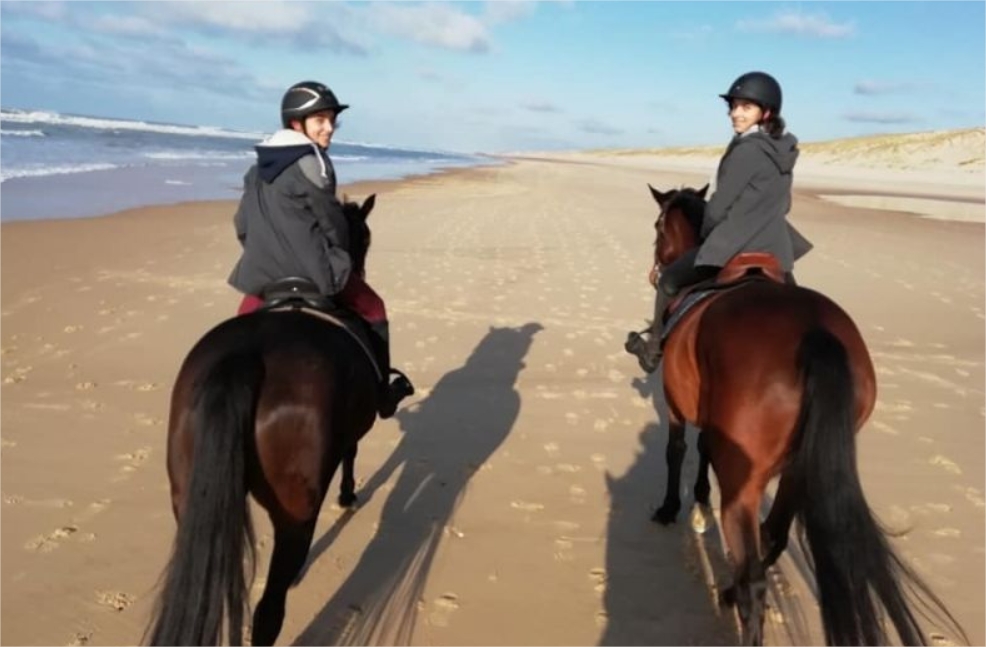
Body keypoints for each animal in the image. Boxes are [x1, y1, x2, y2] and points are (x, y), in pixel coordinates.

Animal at [146, 195, 384, 644]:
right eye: (363, 238)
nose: (359, 274)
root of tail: (244, 359)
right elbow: (352, 450)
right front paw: (347, 496)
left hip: (185, 494)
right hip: (296, 512)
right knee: (268, 612)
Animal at [640, 185, 964, 644]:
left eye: (658, 226)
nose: (657, 271)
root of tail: (816, 334)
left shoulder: (676, 402)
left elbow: (678, 449)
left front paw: (672, 508)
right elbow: (702, 448)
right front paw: (699, 500)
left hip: (743, 483)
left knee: (754, 578)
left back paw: (733, 597)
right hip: (799, 469)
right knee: (772, 538)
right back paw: (728, 590)